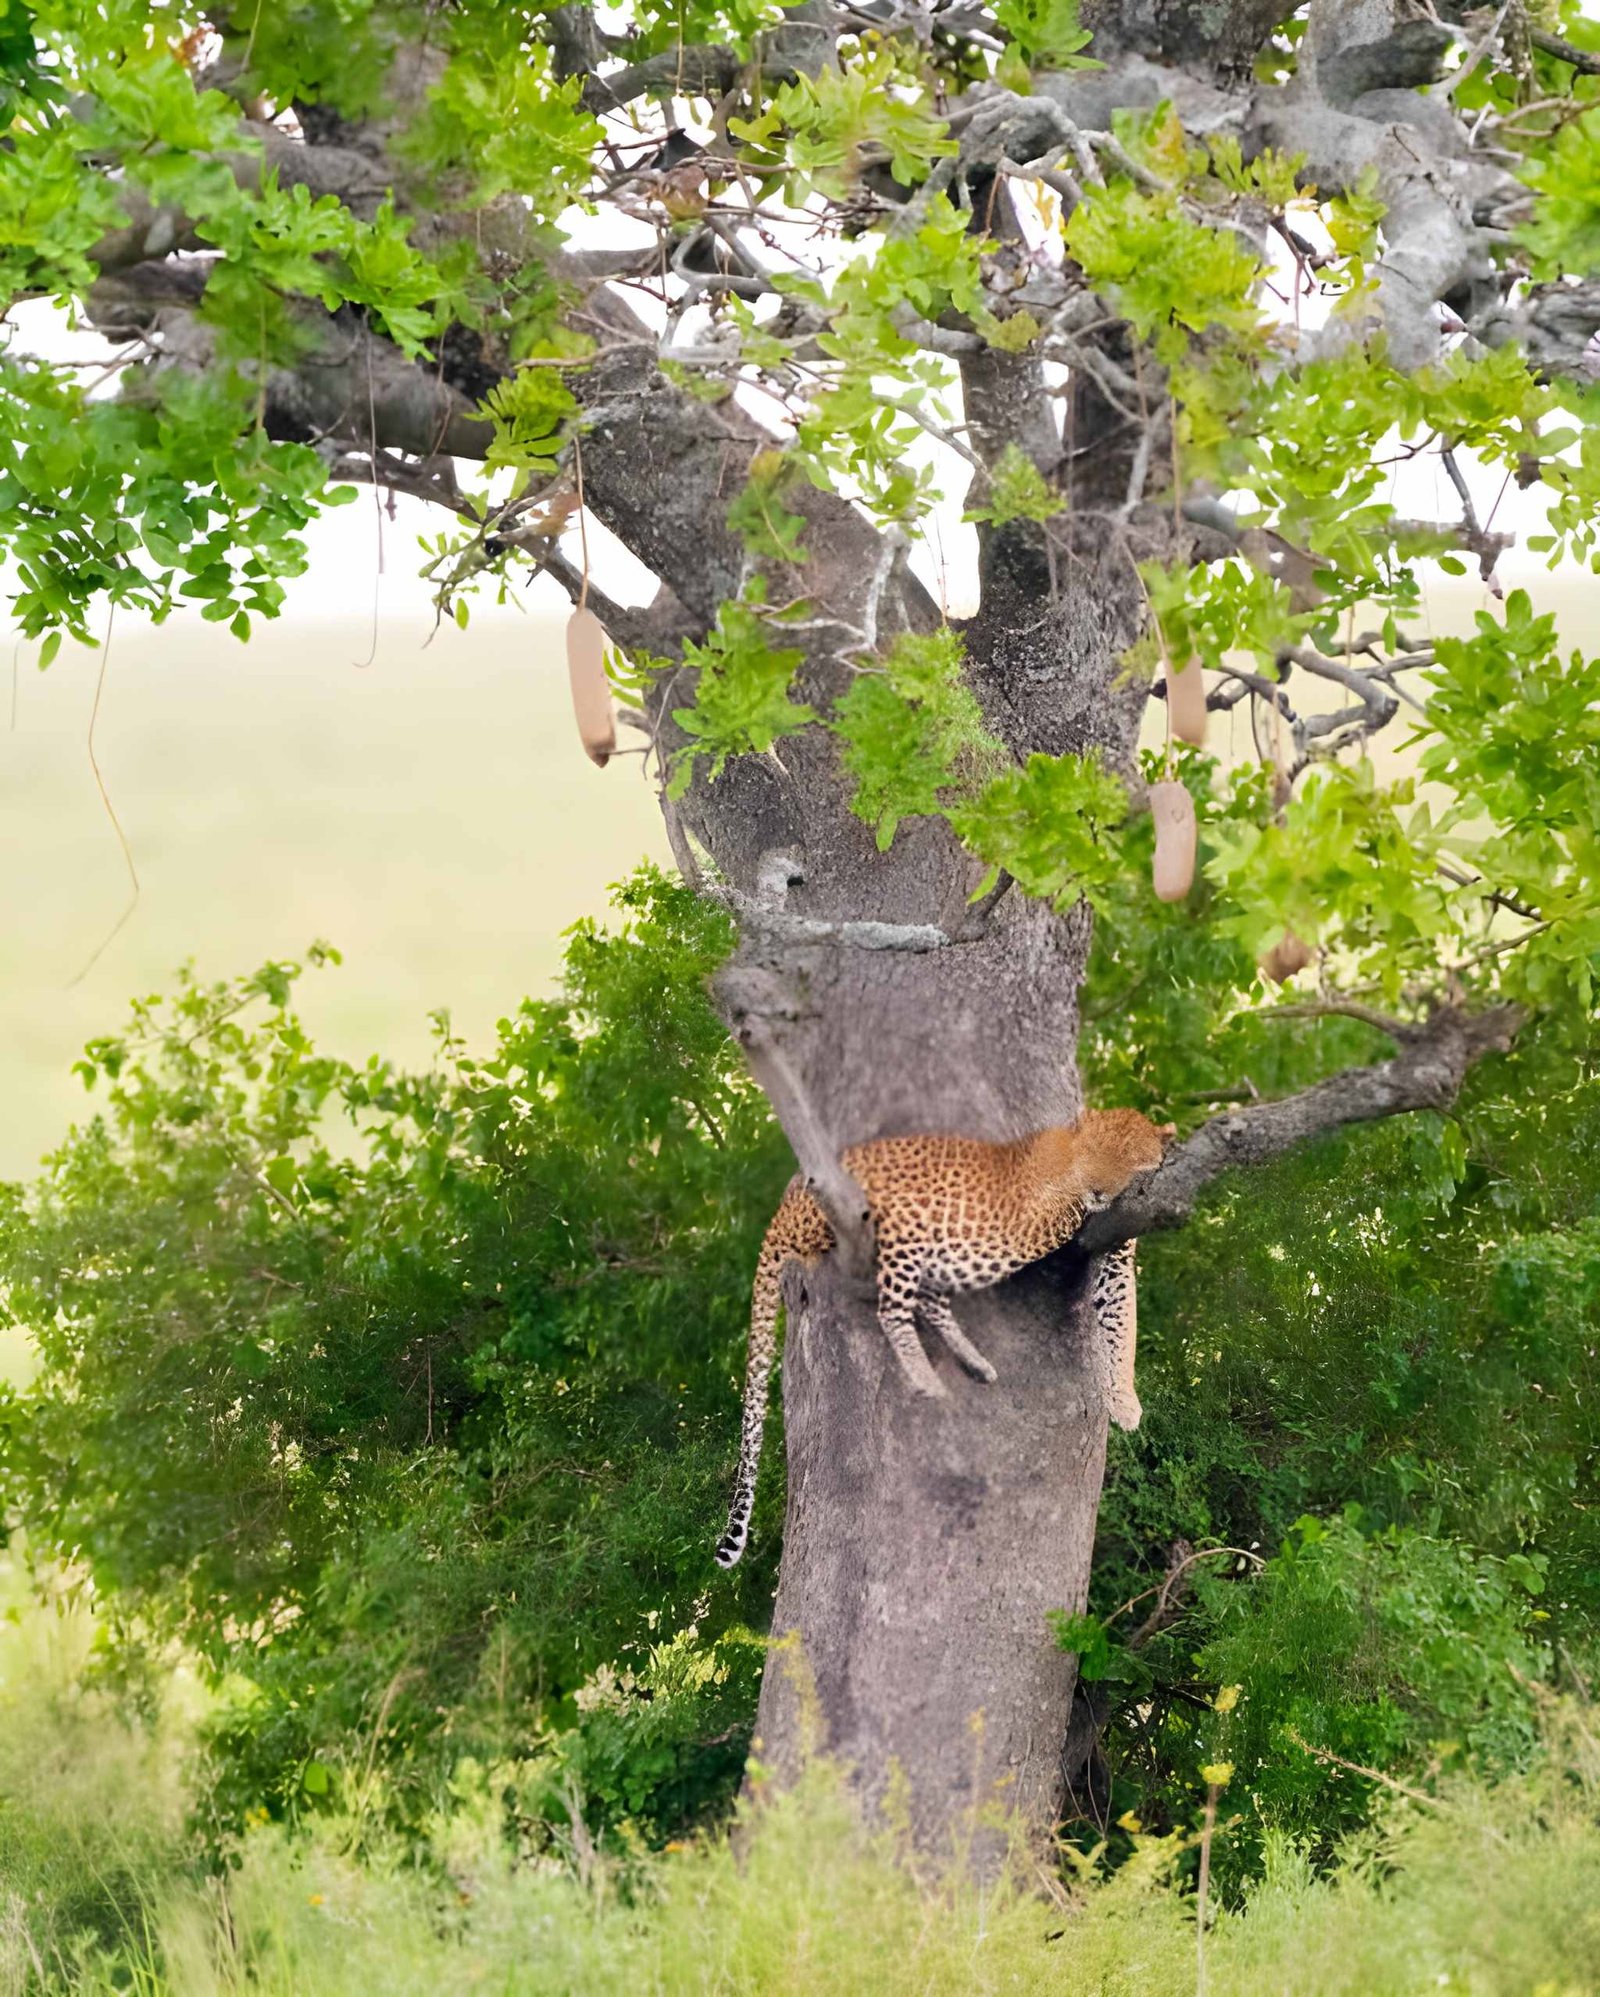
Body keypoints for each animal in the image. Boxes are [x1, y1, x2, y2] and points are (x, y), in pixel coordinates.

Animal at [714, 1107, 1170, 1568]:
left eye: (1132, 1164)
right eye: (1092, 1150)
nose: (1097, 1190)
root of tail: (785, 1206)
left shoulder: (1116, 1254)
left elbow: (1123, 1323)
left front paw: (1125, 1401)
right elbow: (1060, 1217)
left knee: (928, 1297)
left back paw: (972, 1361)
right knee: (894, 1305)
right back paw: (926, 1378)